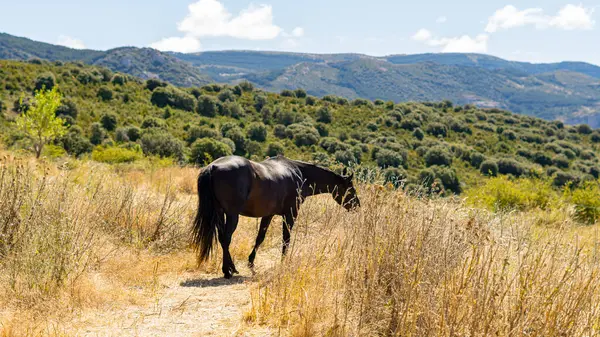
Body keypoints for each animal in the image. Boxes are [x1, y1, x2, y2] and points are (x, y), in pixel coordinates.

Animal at [195, 154, 358, 276]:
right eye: (351, 189)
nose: (357, 205)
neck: (299, 173)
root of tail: (213, 167)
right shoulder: (290, 214)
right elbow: (286, 239)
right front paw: (283, 262)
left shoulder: (268, 214)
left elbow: (260, 238)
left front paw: (251, 262)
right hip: (232, 215)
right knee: (226, 239)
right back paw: (228, 271)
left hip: (219, 214)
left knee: (222, 238)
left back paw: (231, 268)